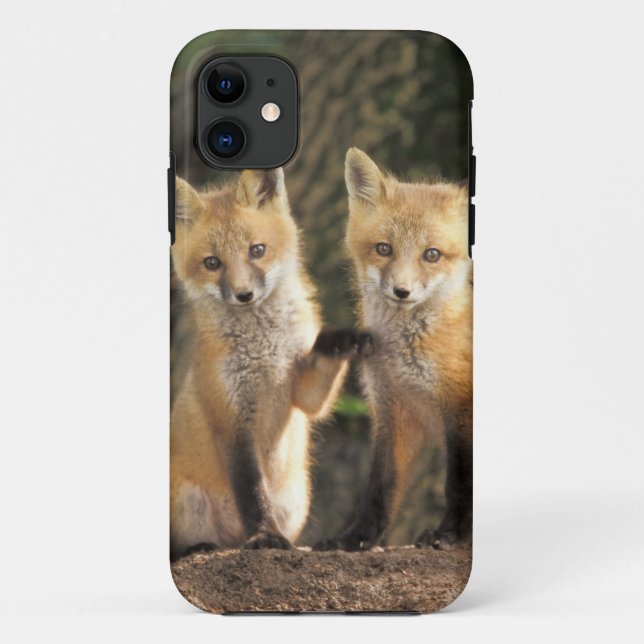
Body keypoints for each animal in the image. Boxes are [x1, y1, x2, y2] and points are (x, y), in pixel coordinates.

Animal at [170, 168, 372, 560]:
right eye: (212, 263)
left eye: (257, 250)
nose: (244, 295)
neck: (264, 352)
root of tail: (231, 540)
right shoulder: (231, 420)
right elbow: (252, 492)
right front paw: (264, 535)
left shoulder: (301, 391)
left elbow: (317, 382)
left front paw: (342, 339)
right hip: (188, 502)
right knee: (182, 546)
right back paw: (201, 547)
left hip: (296, 500)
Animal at [317, 148, 472, 551]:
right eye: (384, 249)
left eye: (431, 254)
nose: (402, 291)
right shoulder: (392, 409)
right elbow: (379, 486)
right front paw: (356, 538)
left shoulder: (459, 409)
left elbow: (459, 484)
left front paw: (450, 534)